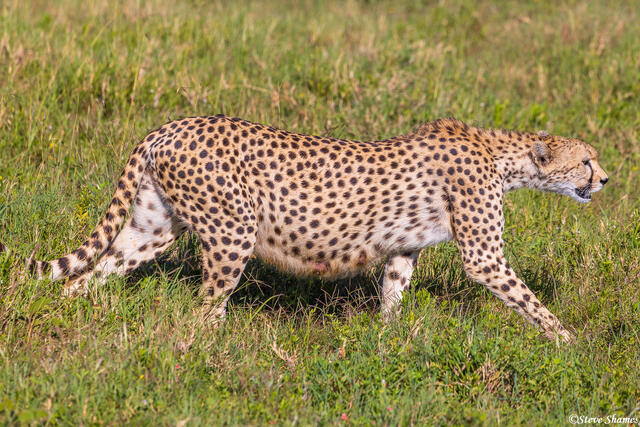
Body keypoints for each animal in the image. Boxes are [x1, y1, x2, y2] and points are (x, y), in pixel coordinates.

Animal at [1, 115, 608, 342]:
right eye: (585, 160)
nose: (605, 178)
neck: (506, 157)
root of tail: (172, 124)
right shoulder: (483, 256)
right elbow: (528, 299)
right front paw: (569, 341)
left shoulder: (404, 248)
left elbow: (393, 292)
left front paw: (387, 342)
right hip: (233, 229)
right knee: (205, 306)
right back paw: (211, 351)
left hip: (155, 227)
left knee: (95, 270)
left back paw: (74, 312)